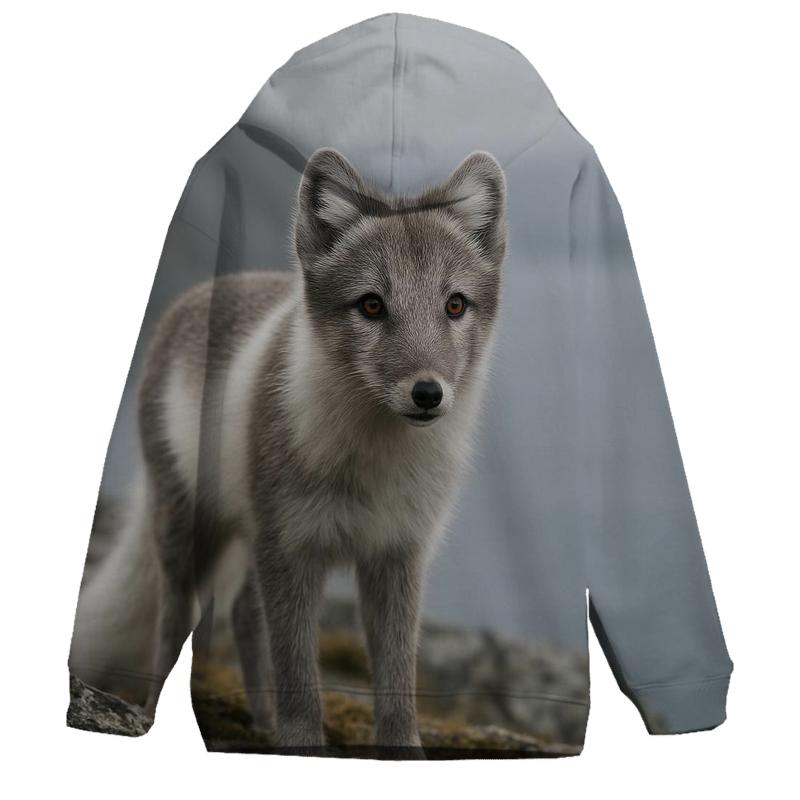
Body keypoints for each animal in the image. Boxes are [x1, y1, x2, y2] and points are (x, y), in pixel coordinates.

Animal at [69, 146, 507, 750]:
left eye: (456, 305)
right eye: (372, 306)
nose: (427, 393)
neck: (373, 464)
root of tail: (197, 296)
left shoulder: (397, 553)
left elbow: (397, 675)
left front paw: (401, 753)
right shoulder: (292, 547)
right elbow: (299, 671)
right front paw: (301, 743)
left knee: (243, 615)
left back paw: (261, 721)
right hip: (191, 528)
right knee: (177, 618)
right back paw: (158, 709)